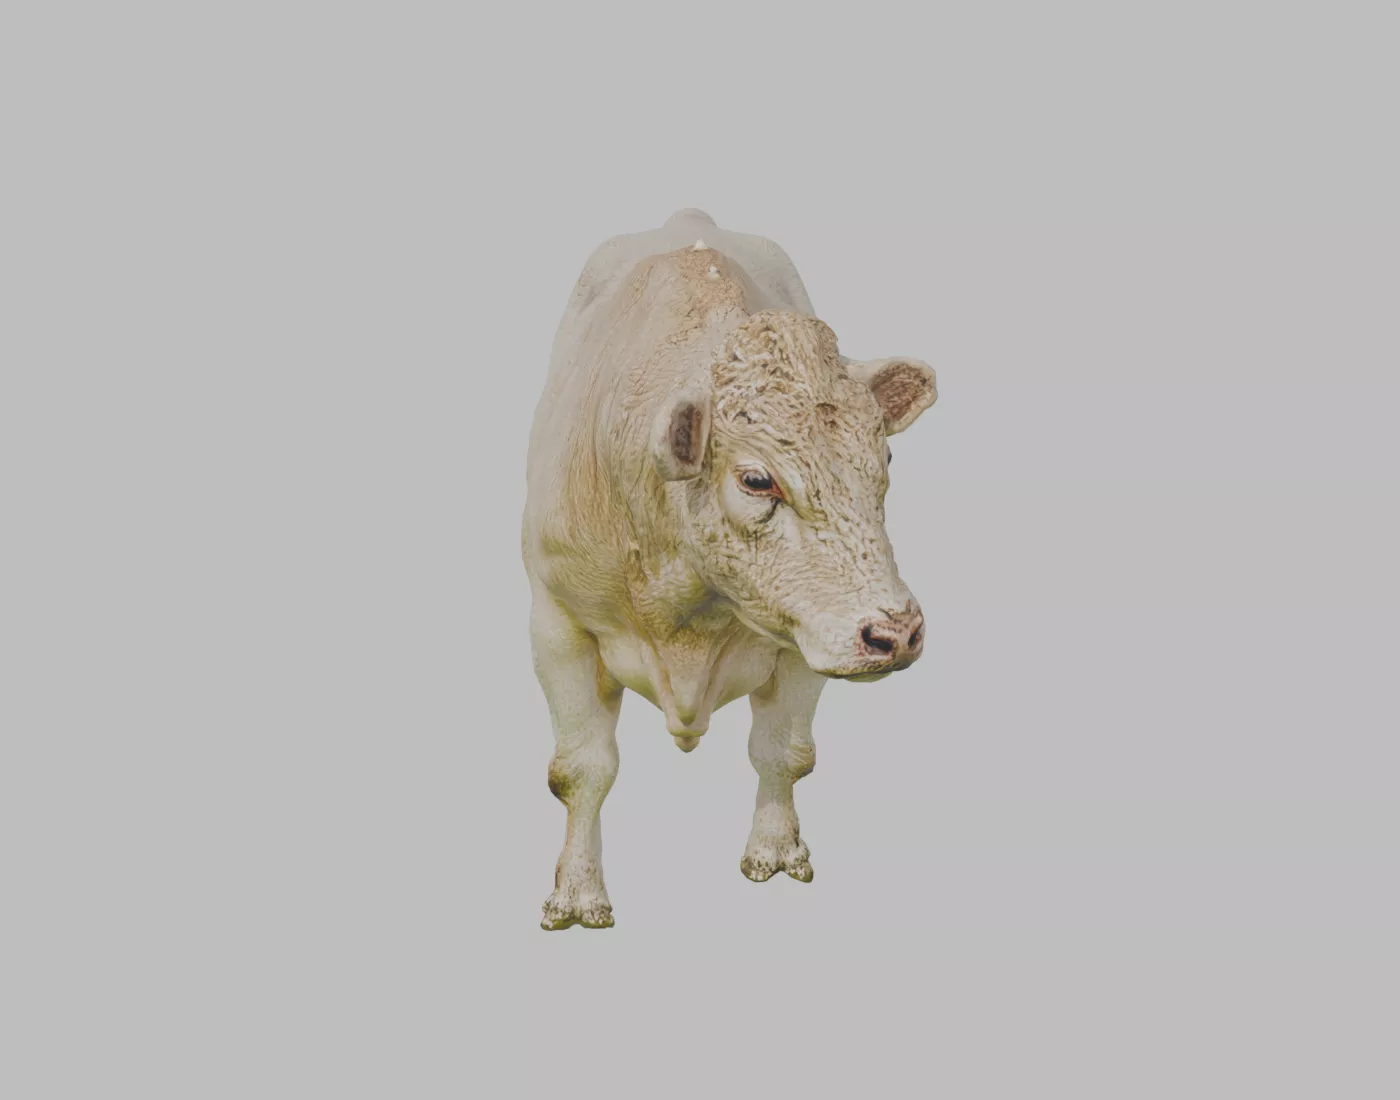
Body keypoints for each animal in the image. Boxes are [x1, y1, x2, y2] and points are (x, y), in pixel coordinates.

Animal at [522, 209, 938, 929]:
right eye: (756, 479)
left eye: (885, 459)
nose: (895, 632)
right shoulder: (557, 621)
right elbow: (581, 769)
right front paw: (576, 894)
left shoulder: (806, 633)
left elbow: (785, 751)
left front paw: (775, 851)